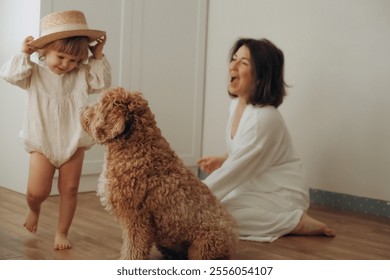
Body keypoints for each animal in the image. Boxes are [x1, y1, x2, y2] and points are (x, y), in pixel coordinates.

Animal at [80, 86, 238, 260]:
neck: (138, 148)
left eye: (99, 105)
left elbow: (133, 249)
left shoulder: (137, 218)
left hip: (204, 243)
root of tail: (233, 241)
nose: (82, 110)